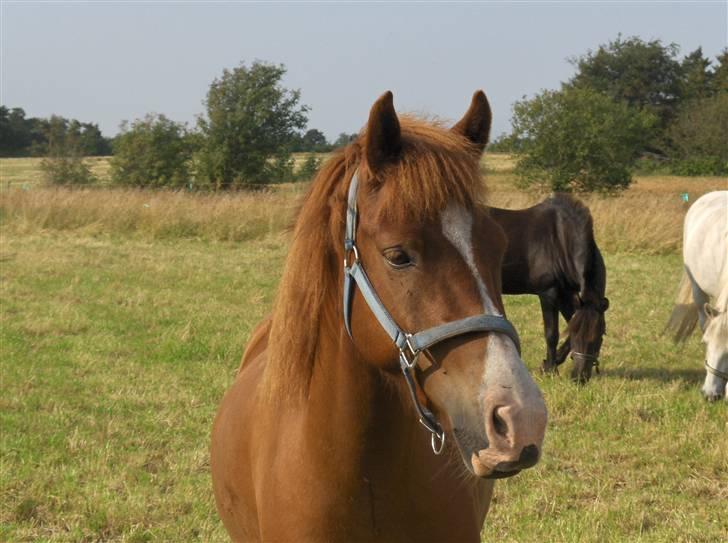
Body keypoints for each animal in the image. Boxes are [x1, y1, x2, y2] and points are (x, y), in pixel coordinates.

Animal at [490, 196, 608, 382]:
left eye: (598, 337)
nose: (579, 378)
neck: (561, 241)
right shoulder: (549, 294)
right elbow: (552, 333)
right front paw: (551, 370)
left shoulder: (567, 295)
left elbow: (570, 323)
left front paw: (549, 363)